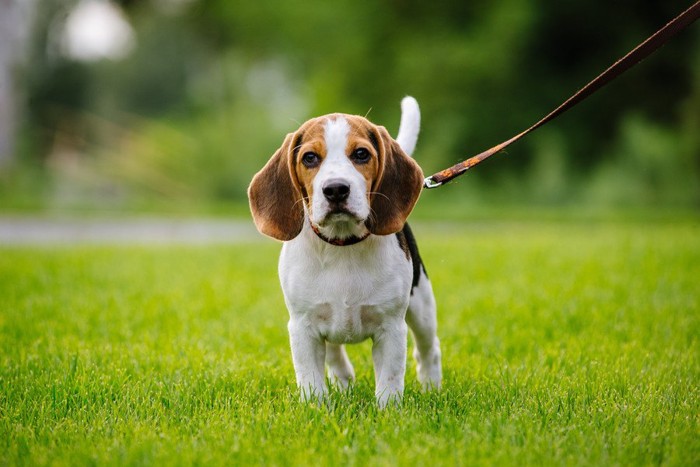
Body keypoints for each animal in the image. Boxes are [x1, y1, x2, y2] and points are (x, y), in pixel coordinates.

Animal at [249, 98, 440, 406]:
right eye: (310, 158)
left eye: (361, 154)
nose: (336, 189)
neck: (342, 245)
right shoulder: (302, 327)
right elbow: (311, 380)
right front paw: (315, 409)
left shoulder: (391, 328)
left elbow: (389, 382)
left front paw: (389, 412)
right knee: (335, 354)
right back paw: (343, 381)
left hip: (421, 305)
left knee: (428, 349)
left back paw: (432, 387)